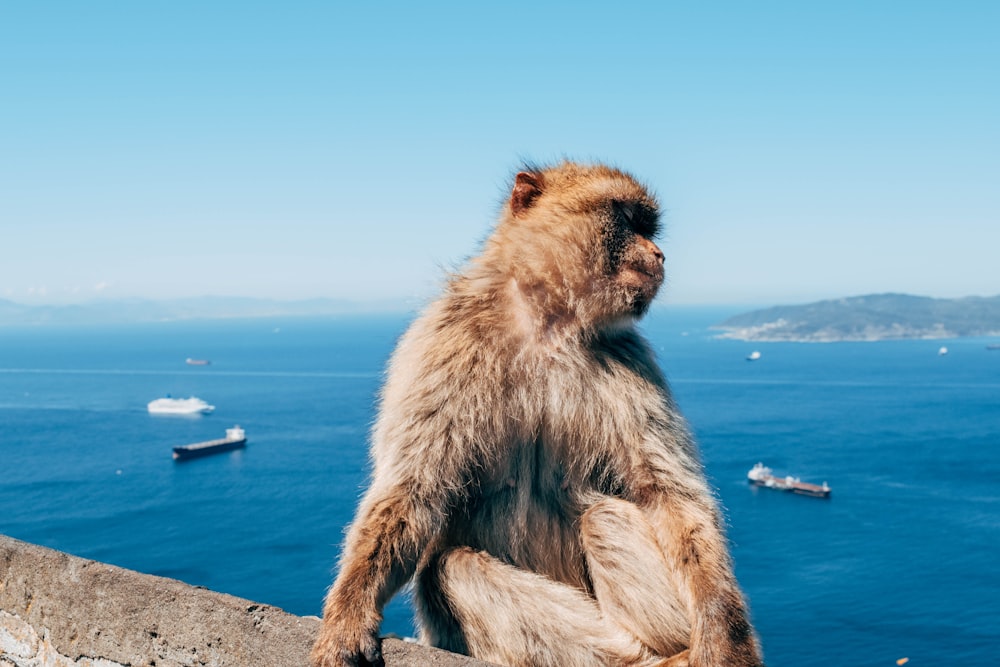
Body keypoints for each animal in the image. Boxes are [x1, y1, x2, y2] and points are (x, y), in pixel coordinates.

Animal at [308, 162, 760, 667]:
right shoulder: (443, 340)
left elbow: (670, 496)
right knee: (451, 567)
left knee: (604, 516)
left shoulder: (631, 355)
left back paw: (666, 653)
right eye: (628, 219)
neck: (548, 323)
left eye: (648, 228)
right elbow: (411, 491)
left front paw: (726, 634)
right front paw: (348, 619)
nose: (659, 254)